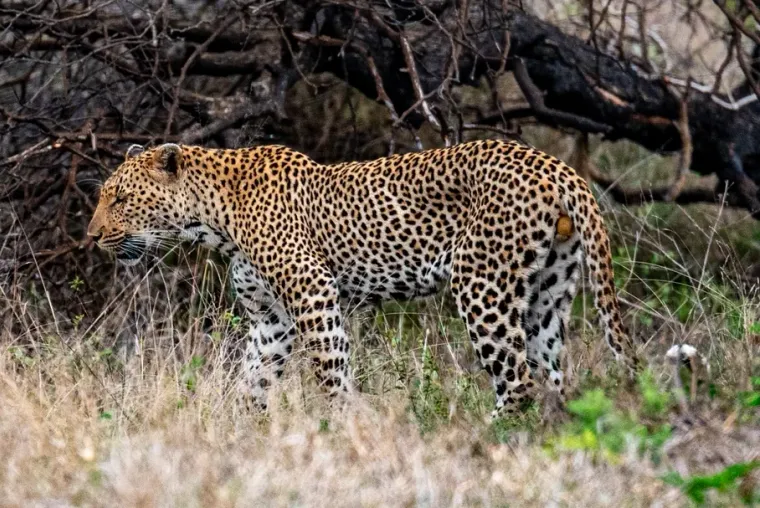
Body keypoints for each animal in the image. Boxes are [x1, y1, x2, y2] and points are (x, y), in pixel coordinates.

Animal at [87, 139, 639, 417]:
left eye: (120, 198)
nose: (91, 237)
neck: (214, 219)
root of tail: (559, 167)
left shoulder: (313, 291)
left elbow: (330, 371)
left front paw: (346, 427)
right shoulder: (271, 320)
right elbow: (252, 380)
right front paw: (242, 432)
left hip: (481, 285)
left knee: (517, 380)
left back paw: (487, 435)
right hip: (547, 292)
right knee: (553, 379)